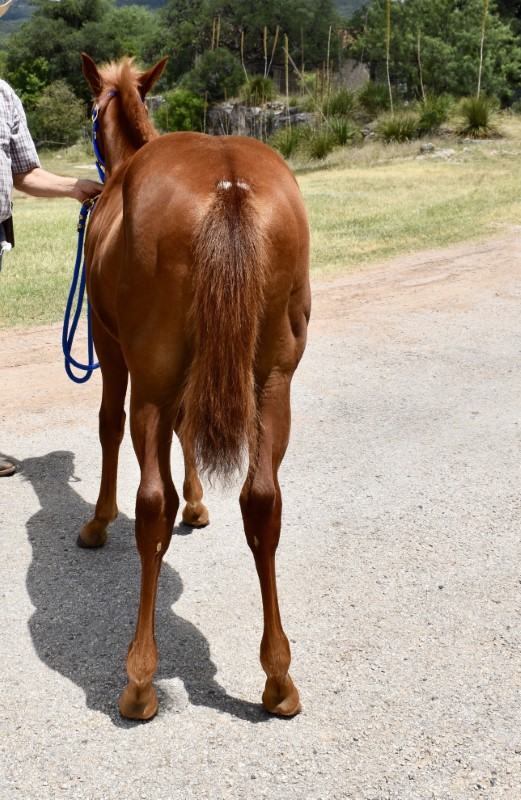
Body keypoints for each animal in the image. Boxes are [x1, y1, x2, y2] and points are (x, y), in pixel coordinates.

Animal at [80, 53, 308, 720]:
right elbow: (190, 430)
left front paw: (97, 522)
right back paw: (278, 678)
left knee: (151, 508)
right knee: (263, 503)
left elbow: (106, 426)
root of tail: (228, 186)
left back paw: (139, 679)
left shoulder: (109, 346)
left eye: (92, 114)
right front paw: (200, 502)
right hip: (272, 384)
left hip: (151, 380)